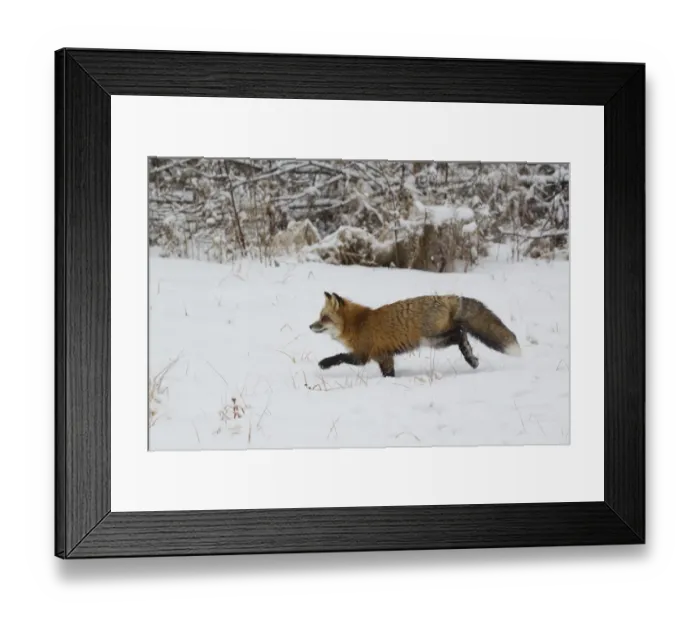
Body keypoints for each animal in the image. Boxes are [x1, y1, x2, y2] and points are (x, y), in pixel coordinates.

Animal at [309, 291, 521, 377]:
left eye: (324, 318)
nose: (310, 326)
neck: (357, 323)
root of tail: (447, 297)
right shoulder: (384, 357)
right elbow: (389, 374)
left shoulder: (362, 355)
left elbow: (339, 357)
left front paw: (324, 363)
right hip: (435, 340)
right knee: (461, 333)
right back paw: (472, 358)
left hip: (431, 339)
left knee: (460, 333)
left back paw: (470, 357)